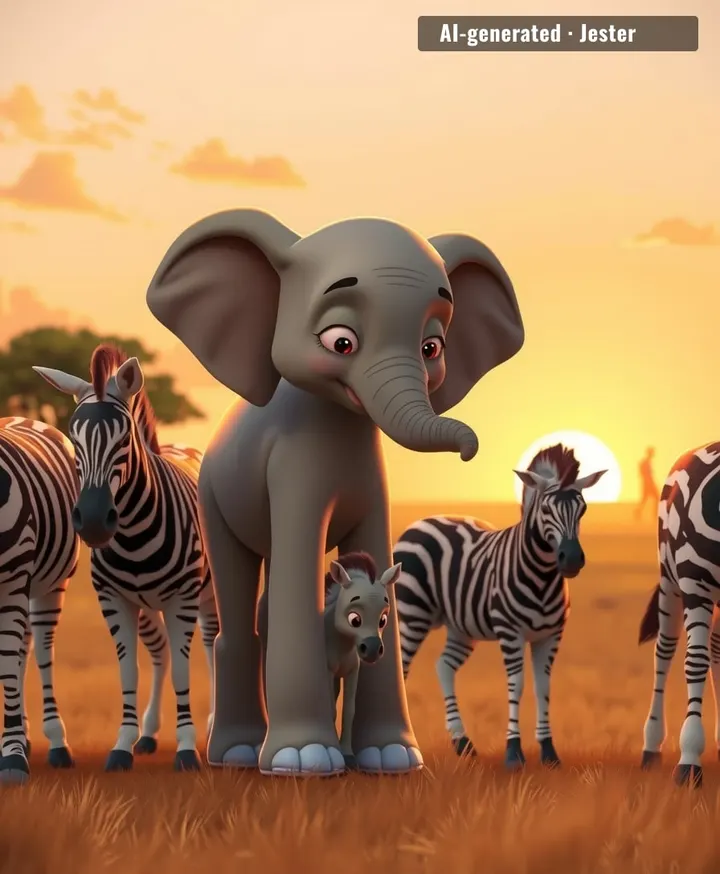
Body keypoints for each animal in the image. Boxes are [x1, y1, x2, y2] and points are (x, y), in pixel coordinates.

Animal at [34, 344, 218, 772]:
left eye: (123, 439)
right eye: (73, 440)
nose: (93, 521)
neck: (135, 532)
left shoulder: (182, 599)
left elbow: (184, 669)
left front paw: (187, 749)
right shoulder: (114, 600)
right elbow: (129, 669)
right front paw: (123, 745)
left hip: (208, 594)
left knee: (213, 645)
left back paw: (216, 728)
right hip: (149, 606)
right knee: (160, 652)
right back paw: (148, 735)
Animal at [393, 443, 605, 769]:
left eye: (583, 509)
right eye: (546, 509)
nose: (571, 559)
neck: (542, 576)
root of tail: (421, 521)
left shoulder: (550, 635)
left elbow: (543, 686)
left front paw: (549, 751)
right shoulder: (510, 632)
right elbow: (516, 684)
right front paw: (514, 752)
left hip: (461, 626)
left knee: (443, 666)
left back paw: (462, 742)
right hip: (412, 614)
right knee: (401, 671)